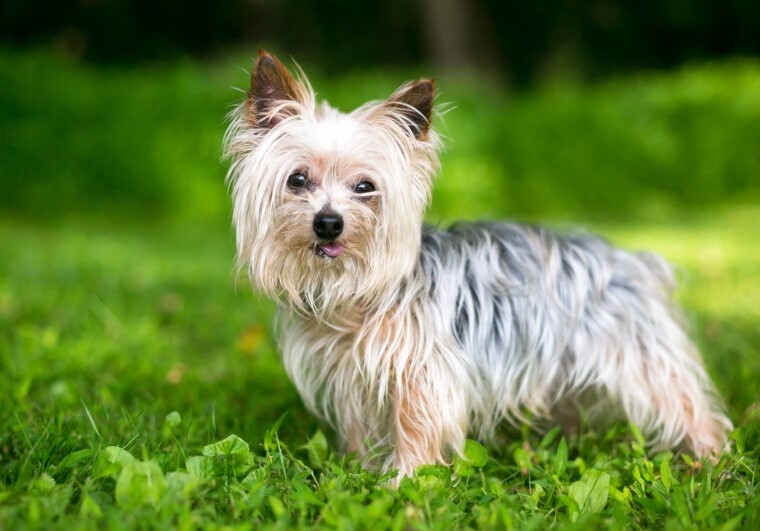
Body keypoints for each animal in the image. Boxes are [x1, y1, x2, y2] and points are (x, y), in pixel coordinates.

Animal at [224, 51, 732, 482]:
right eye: (297, 180)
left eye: (365, 186)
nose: (329, 223)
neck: (354, 292)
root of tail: (629, 259)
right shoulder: (351, 373)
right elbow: (358, 426)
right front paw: (361, 471)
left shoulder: (422, 373)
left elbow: (415, 425)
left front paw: (406, 480)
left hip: (639, 356)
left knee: (688, 404)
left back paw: (712, 459)